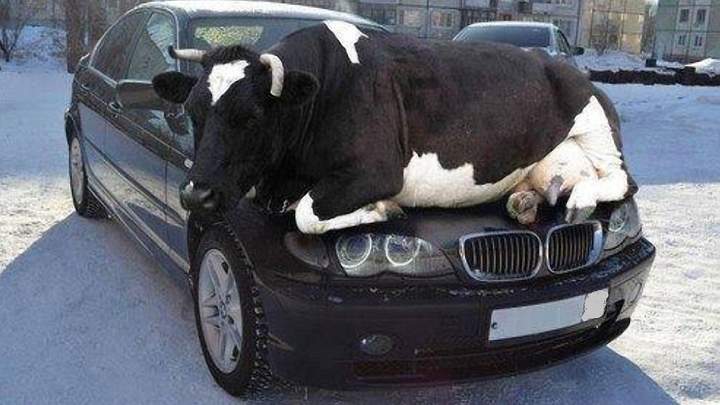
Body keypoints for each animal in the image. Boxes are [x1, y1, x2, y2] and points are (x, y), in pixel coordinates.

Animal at [152, 20, 636, 234]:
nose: (195, 195)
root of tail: (563, 66)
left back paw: (581, 200)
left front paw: (383, 209)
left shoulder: (377, 170)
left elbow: (308, 213)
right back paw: (525, 202)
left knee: (620, 181)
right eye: (193, 112)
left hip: (596, 126)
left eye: (251, 117)